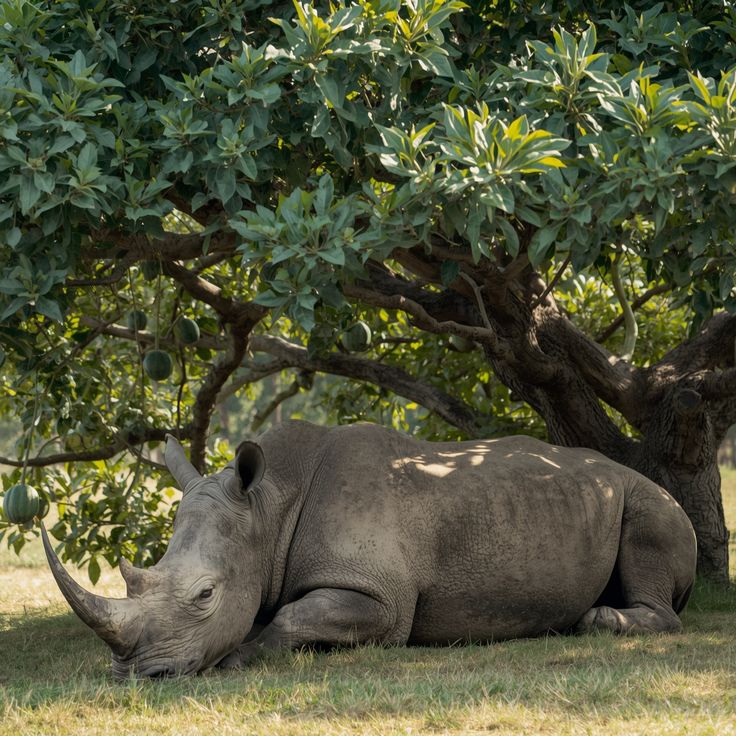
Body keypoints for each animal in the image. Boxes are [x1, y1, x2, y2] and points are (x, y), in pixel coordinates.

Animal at [42, 421, 697, 678]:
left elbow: (291, 616)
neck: (268, 507)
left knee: (652, 520)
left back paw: (597, 621)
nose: (136, 675)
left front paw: (239, 657)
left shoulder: (383, 599)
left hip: (647, 497)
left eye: (205, 594)